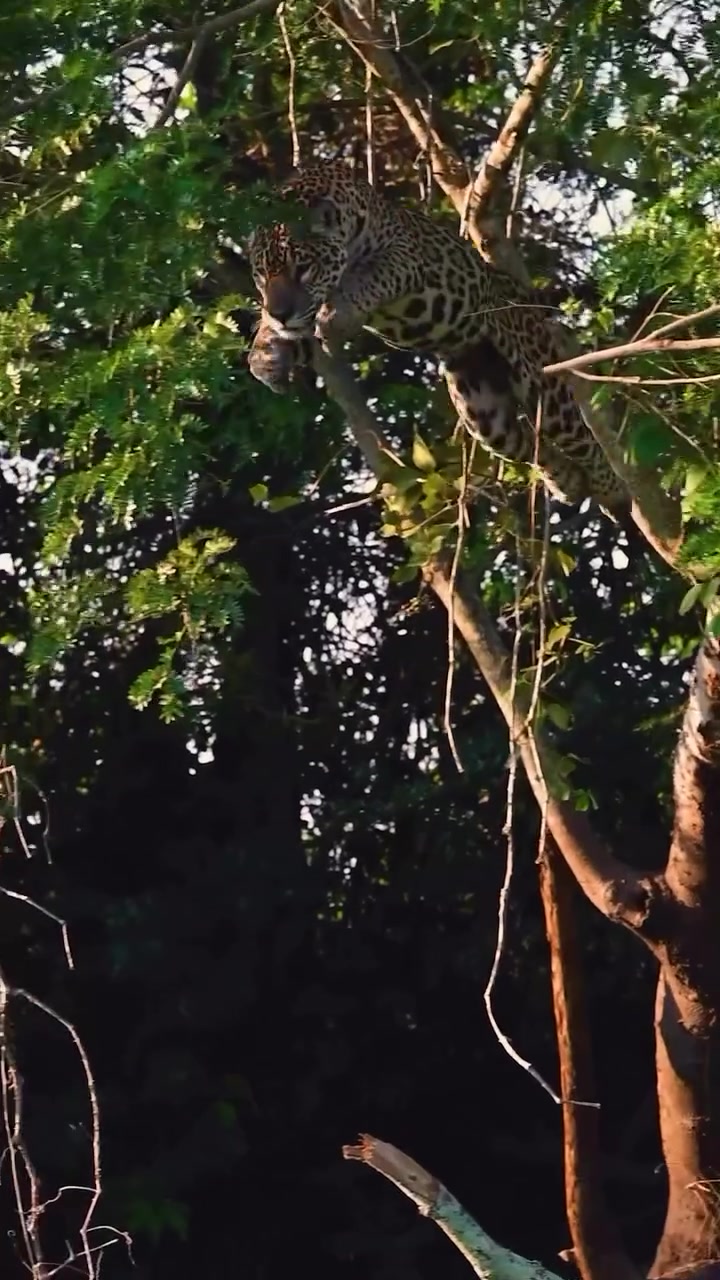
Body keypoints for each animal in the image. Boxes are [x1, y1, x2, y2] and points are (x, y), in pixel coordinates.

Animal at [246, 160, 628, 511]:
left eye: (302, 269)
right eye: (261, 275)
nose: (280, 312)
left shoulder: (407, 254)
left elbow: (372, 273)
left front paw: (338, 313)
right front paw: (266, 357)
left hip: (540, 383)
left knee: (582, 439)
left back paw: (610, 487)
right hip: (483, 411)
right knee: (528, 441)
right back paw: (566, 479)